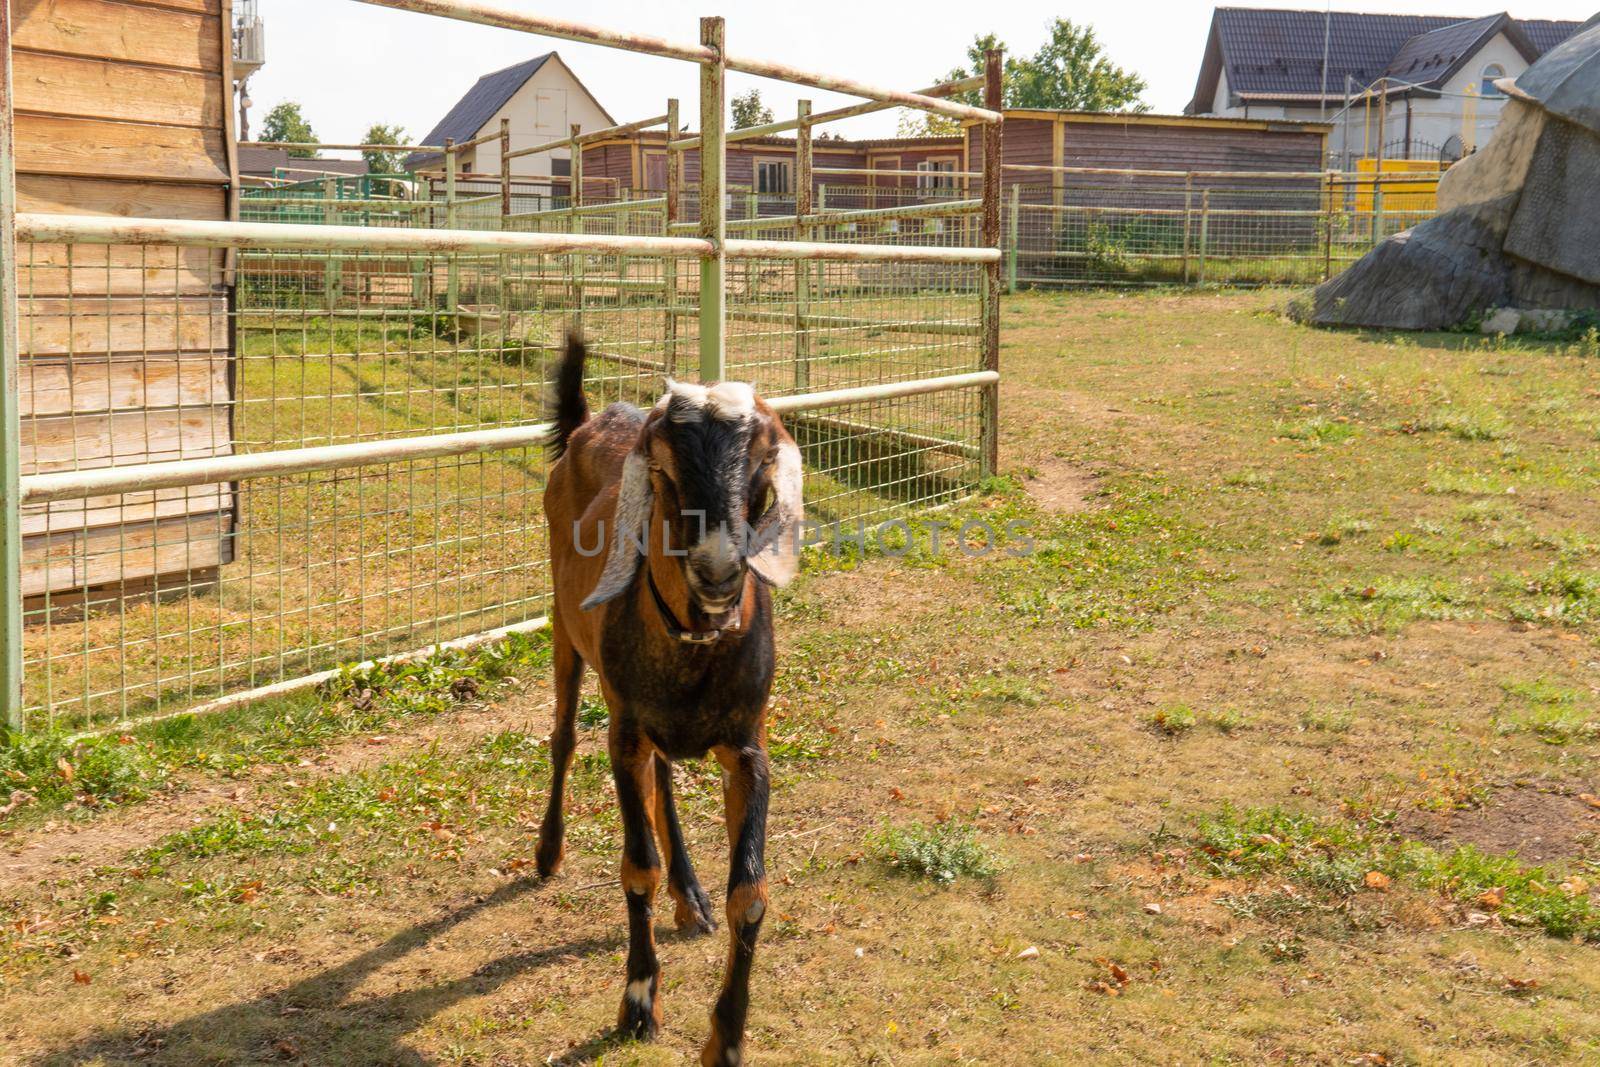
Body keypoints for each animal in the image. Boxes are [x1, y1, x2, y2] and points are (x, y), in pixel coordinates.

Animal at [540, 329, 800, 1062]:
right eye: (663, 474)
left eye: (761, 475)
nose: (718, 571)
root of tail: (588, 421)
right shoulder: (624, 731)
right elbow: (636, 867)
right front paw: (637, 1003)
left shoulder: (748, 744)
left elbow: (752, 893)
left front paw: (728, 1037)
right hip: (564, 629)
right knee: (563, 736)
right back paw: (547, 852)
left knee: (663, 777)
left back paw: (692, 898)